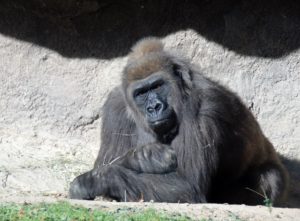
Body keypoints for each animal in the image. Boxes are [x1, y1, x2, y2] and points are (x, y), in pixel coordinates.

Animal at [69, 37, 290, 205]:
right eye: (141, 93)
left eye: (158, 86)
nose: (154, 108)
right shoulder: (115, 106)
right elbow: (105, 161)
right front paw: (144, 157)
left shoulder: (205, 103)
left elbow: (188, 185)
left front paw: (92, 181)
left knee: (268, 177)